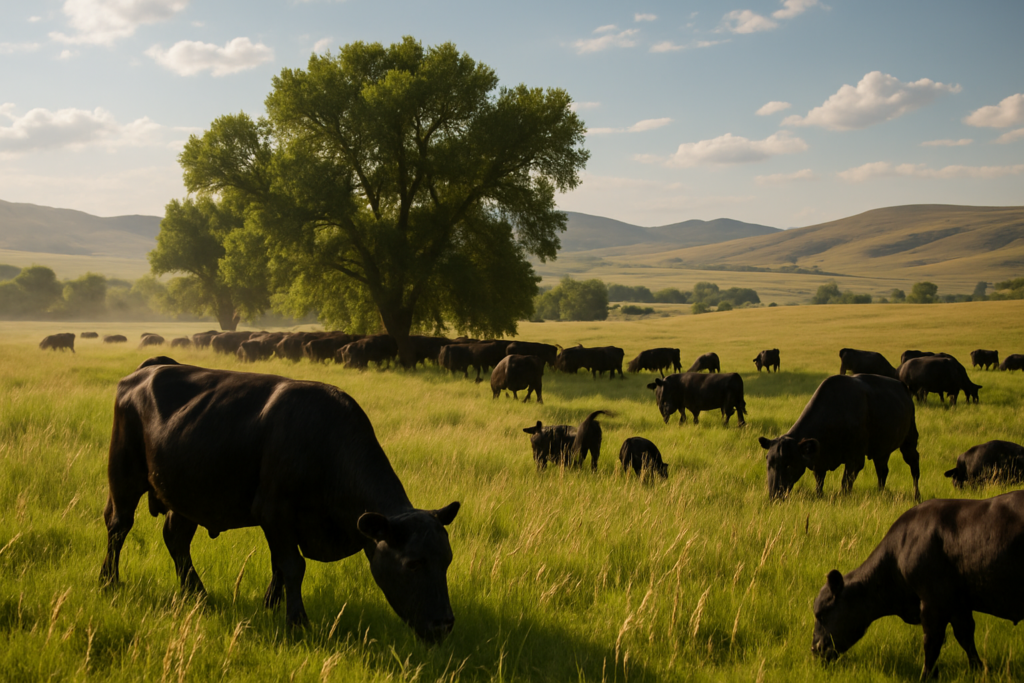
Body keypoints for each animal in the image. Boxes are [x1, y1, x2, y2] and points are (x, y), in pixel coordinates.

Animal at [99, 357, 460, 641]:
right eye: (413, 564)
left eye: (447, 560)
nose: (443, 625)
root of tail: (151, 367)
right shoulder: (274, 512)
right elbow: (292, 566)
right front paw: (297, 622)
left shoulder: (285, 525)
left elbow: (279, 566)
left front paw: (270, 607)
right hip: (124, 475)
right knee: (119, 526)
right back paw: (109, 582)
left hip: (186, 495)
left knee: (175, 539)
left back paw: (198, 594)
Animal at [758, 374, 920, 501]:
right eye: (769, 463)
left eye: (789, 464)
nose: (774, 494)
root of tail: (902, 386)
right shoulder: (819, 460)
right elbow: (819, 482)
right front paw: (819, 496)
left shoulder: (855, 459)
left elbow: (845, 483)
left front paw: (843, 498)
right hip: (881, 450)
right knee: (882, 471)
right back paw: (881, 493)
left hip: (909, 440)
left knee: (914, 466)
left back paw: (917, 496)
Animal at [811, 491, 1024, 679]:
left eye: (821, 614)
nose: (815, 648)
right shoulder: (957, 604)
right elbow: (965, 636)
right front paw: (979, 669)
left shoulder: (932, 602)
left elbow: (932, 643)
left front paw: (925, 676)